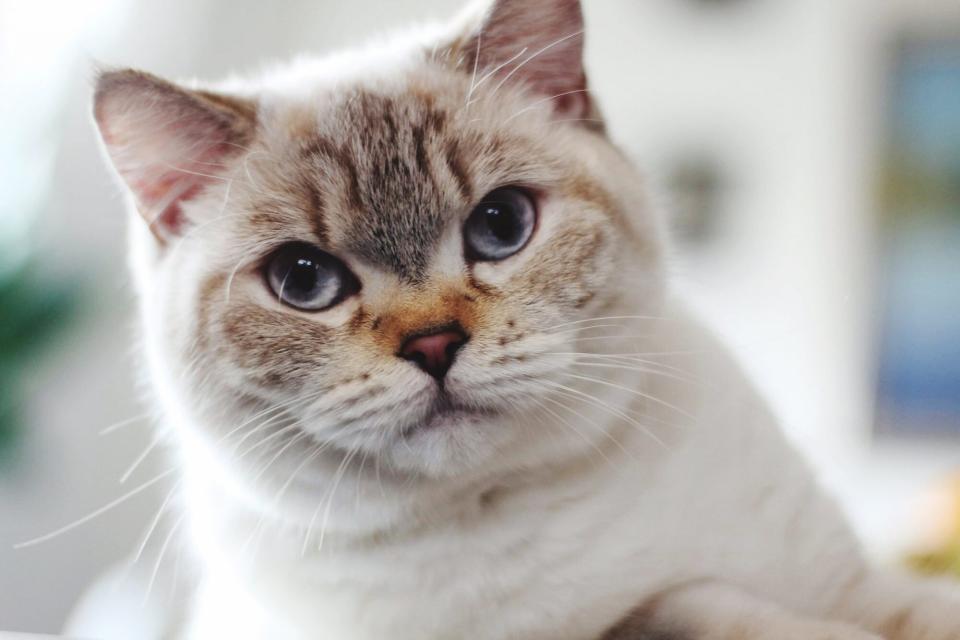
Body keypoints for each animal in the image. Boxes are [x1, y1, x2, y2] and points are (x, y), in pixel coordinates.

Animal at [82, 0, 960, 636]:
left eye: (501, 226)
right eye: (304, 280)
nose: (433, 343)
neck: (498, 514)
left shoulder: (850, 583)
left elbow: (900, 612)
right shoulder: (652, 616)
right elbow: (692, 604)